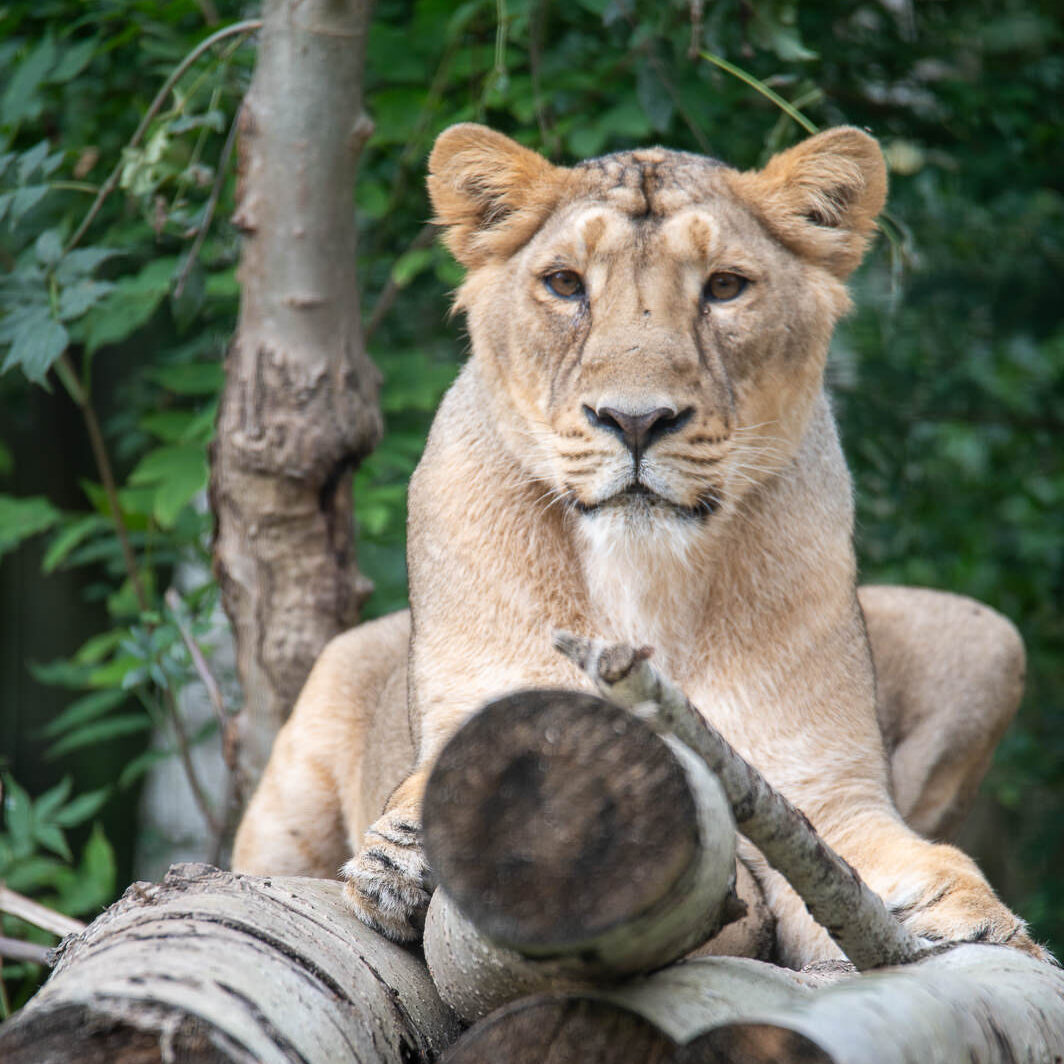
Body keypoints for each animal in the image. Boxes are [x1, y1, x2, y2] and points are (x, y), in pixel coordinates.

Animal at [230, 122, 1038, 966]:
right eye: (564, 284)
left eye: (725, 287)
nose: (637, 419)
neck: (646, 579)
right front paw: (409, 855)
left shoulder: (827, 796)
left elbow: (917, 863)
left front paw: (978, 921)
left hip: (990, 639)